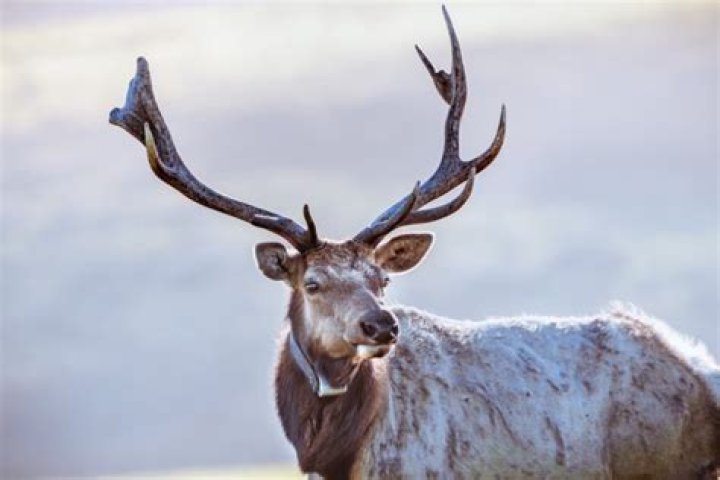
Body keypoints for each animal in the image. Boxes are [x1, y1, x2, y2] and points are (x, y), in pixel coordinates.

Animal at [109, 7, 719, 480]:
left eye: (382, 279)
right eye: (313, 282)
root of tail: (699, 369)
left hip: (662, 463)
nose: (381, 325)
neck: (337, 457)